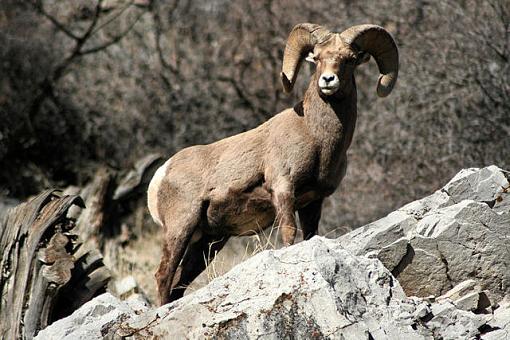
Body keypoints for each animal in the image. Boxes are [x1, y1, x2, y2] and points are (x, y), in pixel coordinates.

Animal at [147, 23, 398, 306]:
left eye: (350, 59)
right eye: (317, 58)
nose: (328, 81)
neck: (315, 136)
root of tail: (162, 174)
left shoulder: (313, 202)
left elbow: (309, 235)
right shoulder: (283, 190)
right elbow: (289, 235)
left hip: (209, 243)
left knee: (180, 283)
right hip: (181, 228)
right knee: (164, 275)